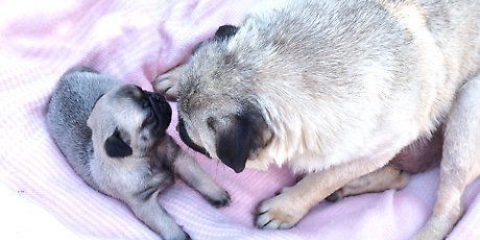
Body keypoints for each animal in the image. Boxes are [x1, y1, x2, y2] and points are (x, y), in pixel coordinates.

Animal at [46, 67, 231, 240]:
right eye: (148, 117)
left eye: (145, 91)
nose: (157, 97)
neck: (149, 154)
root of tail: (64, 79)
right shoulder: (145, 204)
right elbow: (165, 222)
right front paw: (179, 236)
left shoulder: (179, 159)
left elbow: (198, 177)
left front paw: (216, 193)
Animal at [154, 0, 480, 239]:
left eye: (190, 138)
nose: (177, 126)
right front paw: (178, 75)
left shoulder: (374, 150)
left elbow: (321, 180)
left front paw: (285, 208)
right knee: (399, 178)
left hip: (466, 113)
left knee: (449, 209)